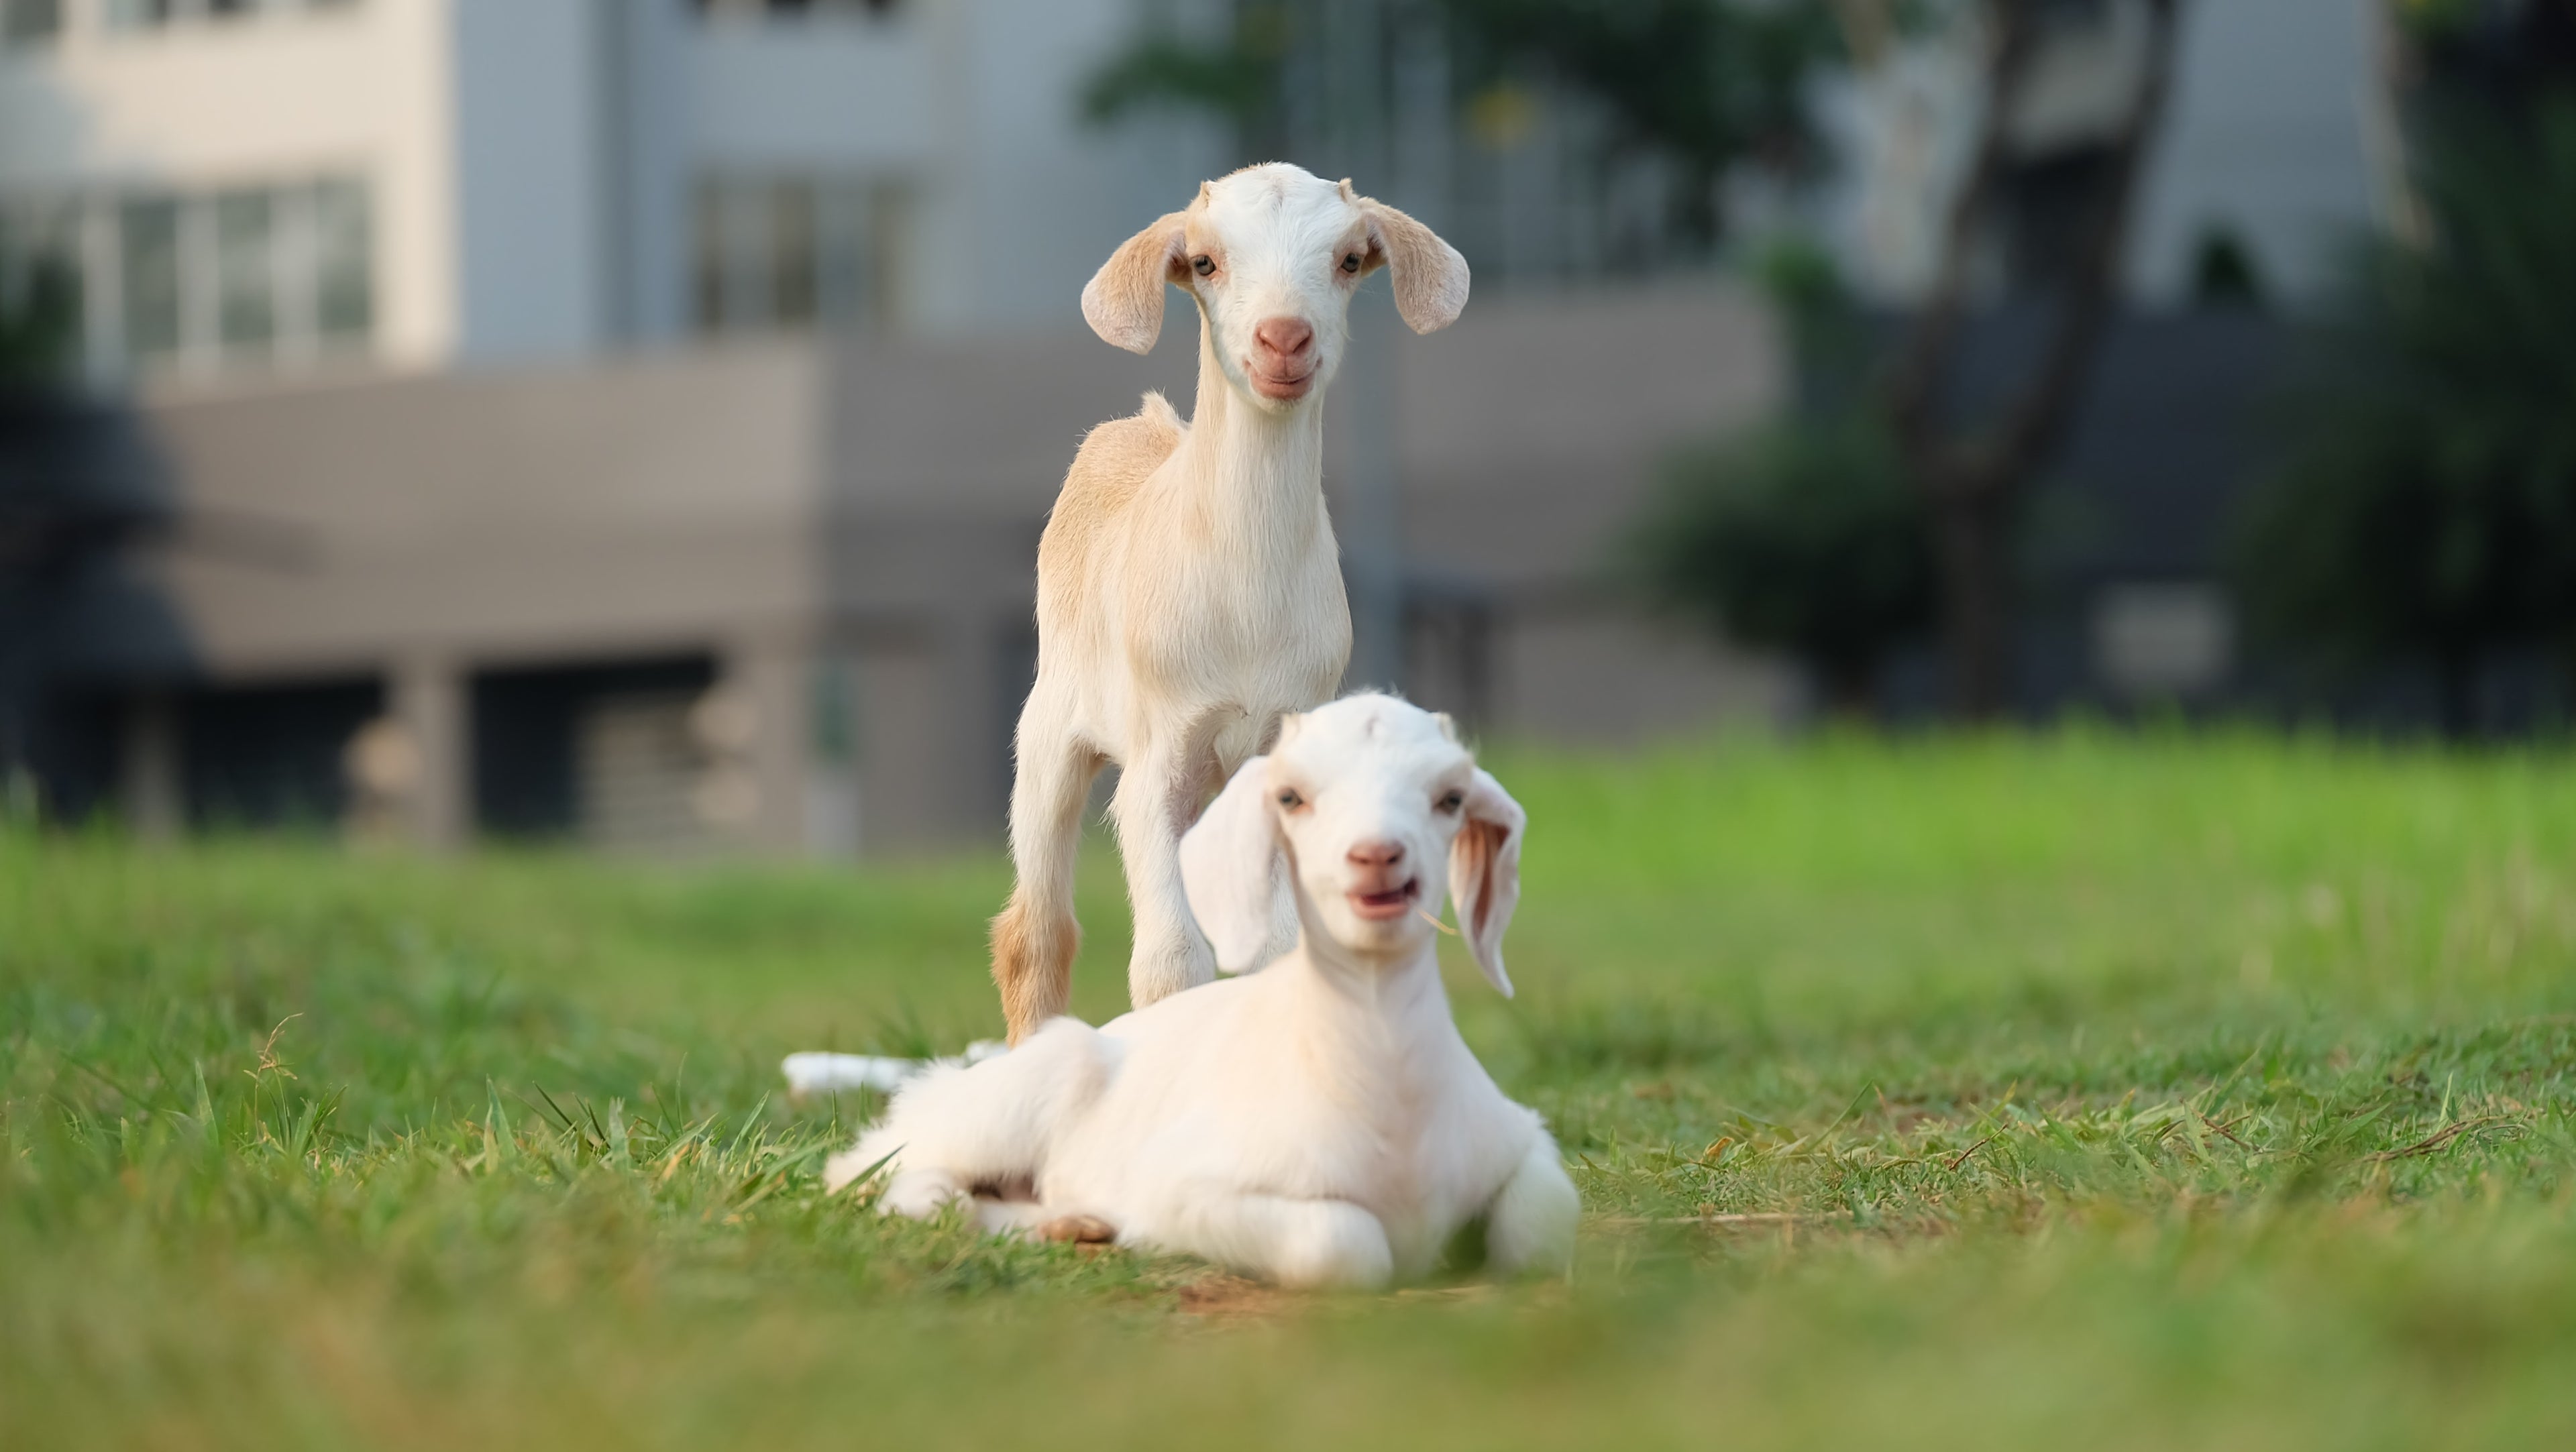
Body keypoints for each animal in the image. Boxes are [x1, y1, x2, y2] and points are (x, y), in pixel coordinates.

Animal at [830, 694, 1577, 1290]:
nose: (1377, 858)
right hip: (1004, 1100)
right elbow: (1344, 1244)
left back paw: (1073, 1222)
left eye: (1451, 797)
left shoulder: (1519, 1138)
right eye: (1292, 796)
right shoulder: (1191, 1181)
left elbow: (1542, 1221)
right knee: (871, 1167)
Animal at [989, 163, 1471, 1043]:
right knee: (1036, 930)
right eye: (1207, 262)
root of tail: (1142, 424)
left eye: (1349, 259)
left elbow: (1279, 953)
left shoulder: (1279, 754)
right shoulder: (1161, 751)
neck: (1246, 598)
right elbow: (1170, 964)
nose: (1284, 339)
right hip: (1049, 733)